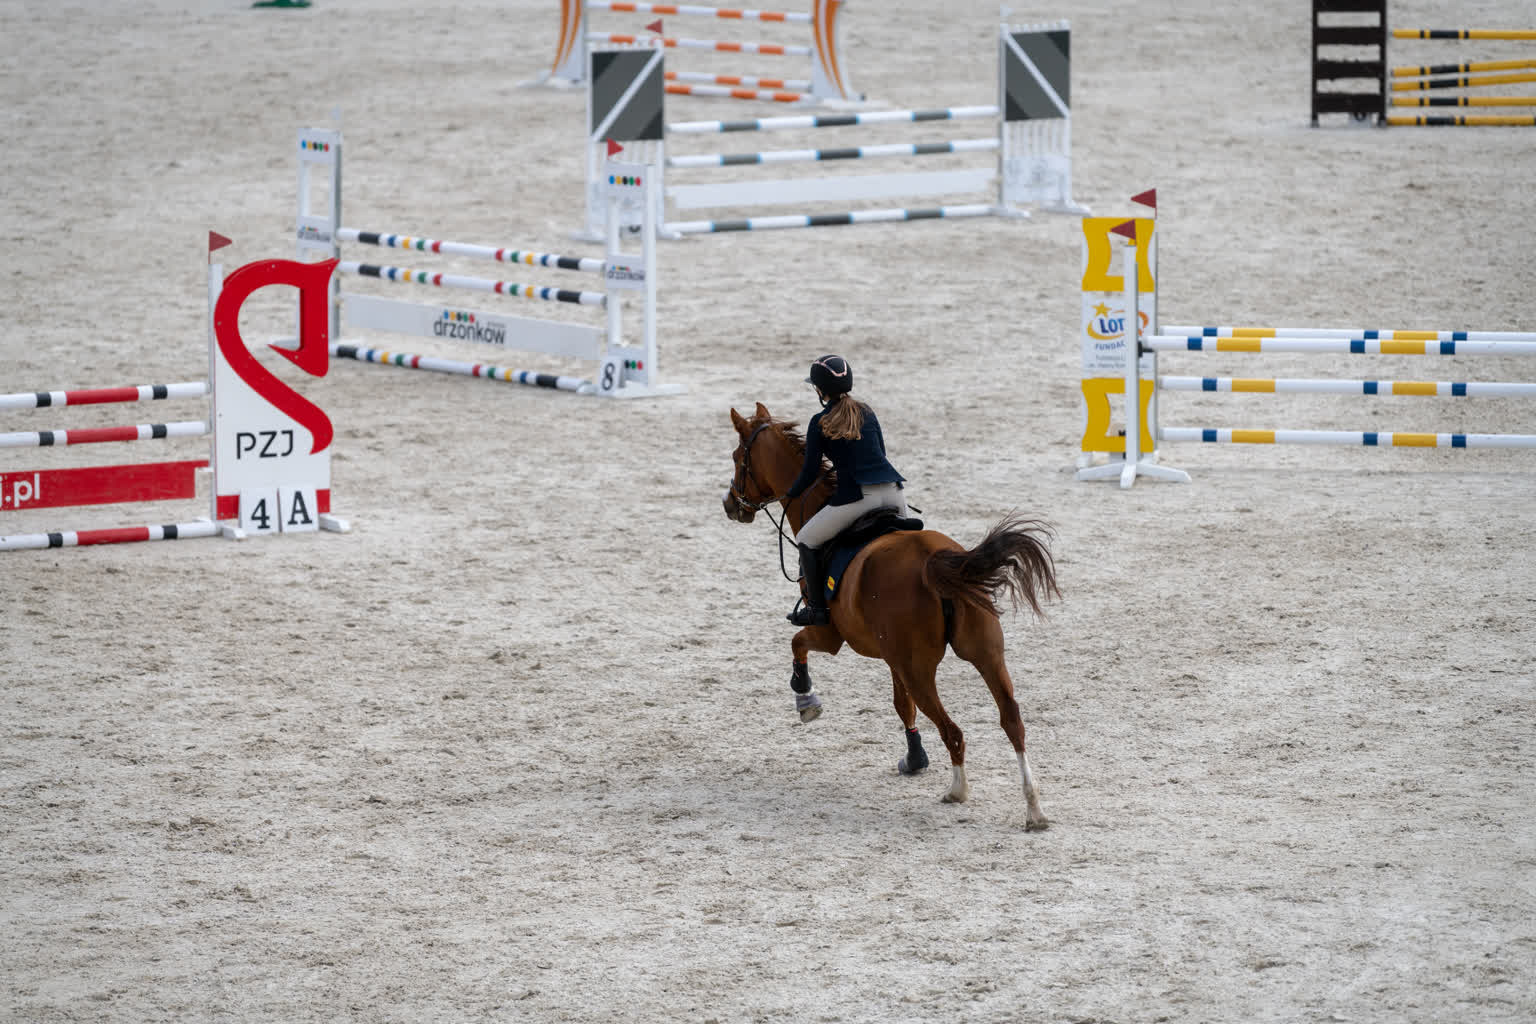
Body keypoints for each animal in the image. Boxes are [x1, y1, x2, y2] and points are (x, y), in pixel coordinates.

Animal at [722, 402, 1060, 830]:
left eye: (739, 458)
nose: (730, 505)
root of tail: (936, 561)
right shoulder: (892, 657)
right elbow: (902, 705)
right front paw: (915, 759)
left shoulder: (832, 636)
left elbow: (797, 644)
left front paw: (806, 700)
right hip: (985, 654)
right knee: (1012, 721)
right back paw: (1034, 809)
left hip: (920, 669)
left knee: (953, 730)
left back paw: (957, 791)